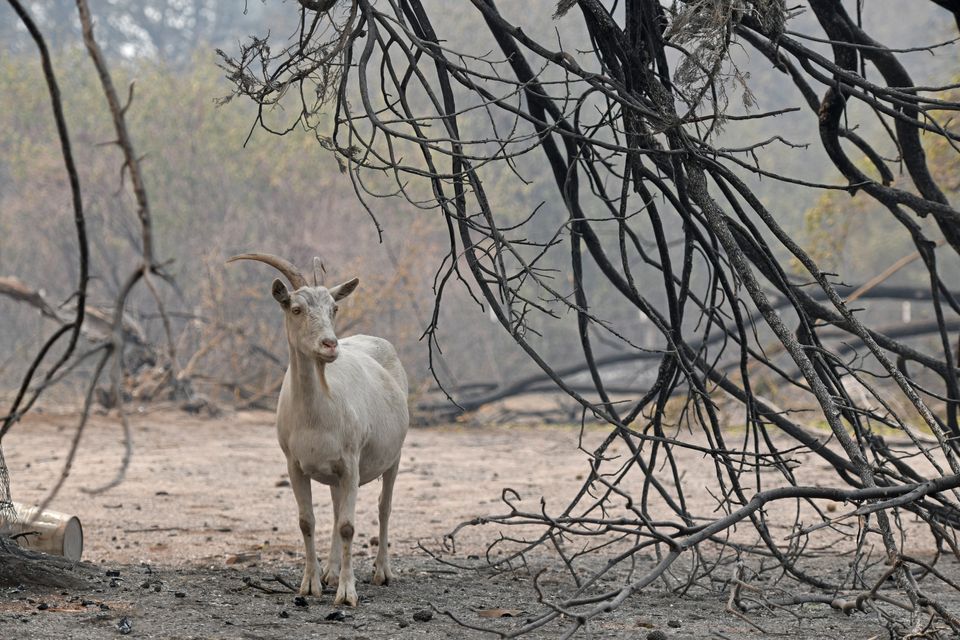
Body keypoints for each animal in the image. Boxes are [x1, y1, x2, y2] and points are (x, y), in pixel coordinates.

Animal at [228, 251, 408, 604]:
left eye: (334, 308)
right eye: (296, 308)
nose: (330, 345)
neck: (317, 414)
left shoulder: (351, 461)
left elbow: (349, 525)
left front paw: (347, 593)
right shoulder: (295, 464)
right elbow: (307, 522)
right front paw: (311, 583)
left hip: (393, 456)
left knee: (384, 507)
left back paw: (382, 572)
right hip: (334, 474)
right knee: (338, 510)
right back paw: (330, 572)